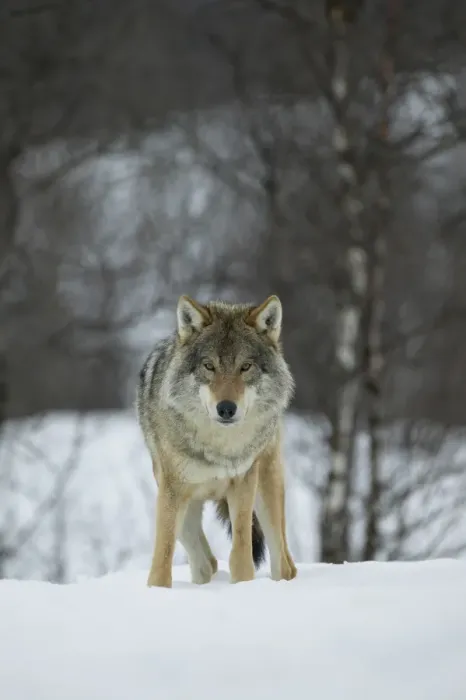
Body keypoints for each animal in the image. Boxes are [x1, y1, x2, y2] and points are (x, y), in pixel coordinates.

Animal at [136, 294, 297, 588]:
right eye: (209, 366)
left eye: (245, 367)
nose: (226, 408)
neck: (218, 448)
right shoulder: (171, 489)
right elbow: (163, 558)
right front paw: (159, 590)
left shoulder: (243, 483)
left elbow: (241, 554)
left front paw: (244, 586)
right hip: (179, 498)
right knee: (203, 559)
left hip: (266, 488)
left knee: (284, 563)